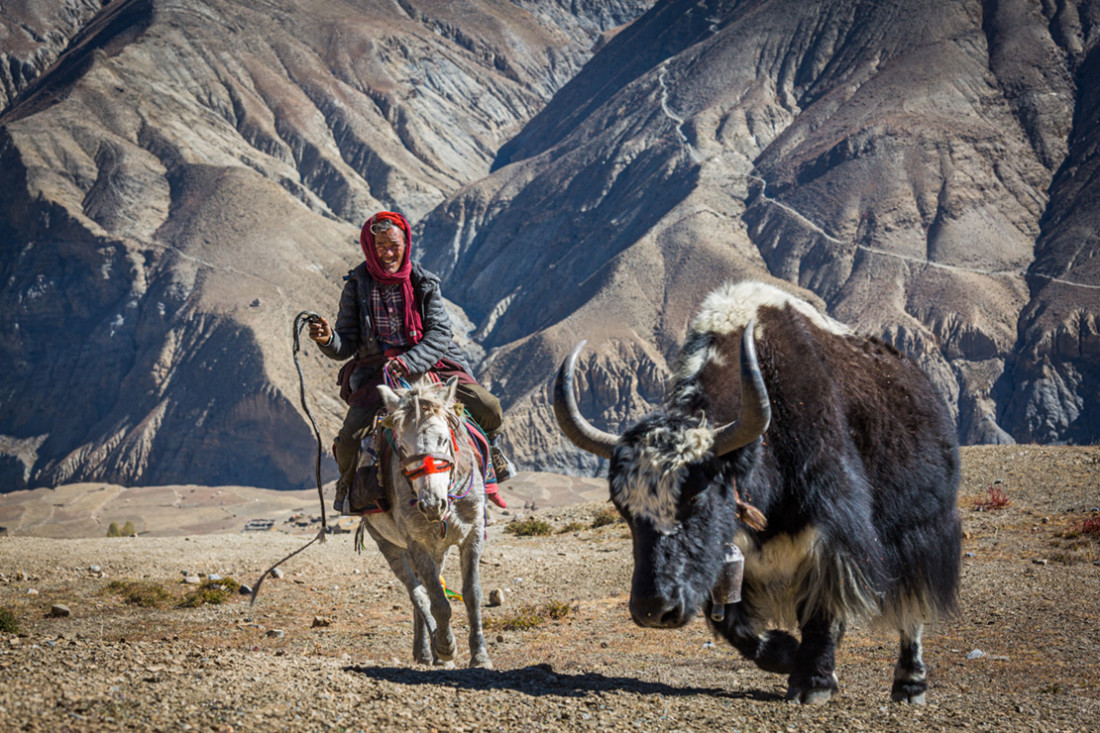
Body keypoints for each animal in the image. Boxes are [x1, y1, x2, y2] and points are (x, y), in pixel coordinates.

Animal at [358, 376, 492, 669]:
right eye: (401, 447)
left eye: (443, 440)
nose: (431, 505)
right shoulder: (417, 543)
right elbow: (438, 602)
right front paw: (446, 646)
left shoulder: (473, 534)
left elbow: (473, 594)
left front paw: (480, 656)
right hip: (388, 543)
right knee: (417, 593)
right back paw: (433, 649)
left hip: (437, 549)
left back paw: (425, 652)